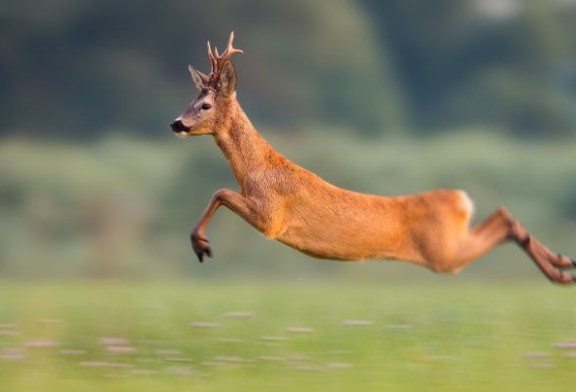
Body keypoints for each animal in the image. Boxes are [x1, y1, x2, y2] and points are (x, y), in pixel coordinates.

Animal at [171, 32, 576, 284]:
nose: (176, 123)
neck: (257, 169)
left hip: (444, 252)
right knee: (505, 216)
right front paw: (199, 243)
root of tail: (461, 200)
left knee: (503, 221)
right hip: (449, 245)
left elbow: (220, 192)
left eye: (205, 105)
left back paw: (560, 271)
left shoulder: (271, 217)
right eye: (191, 99)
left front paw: (200, 244)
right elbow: (220, 192)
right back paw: (563, 265)